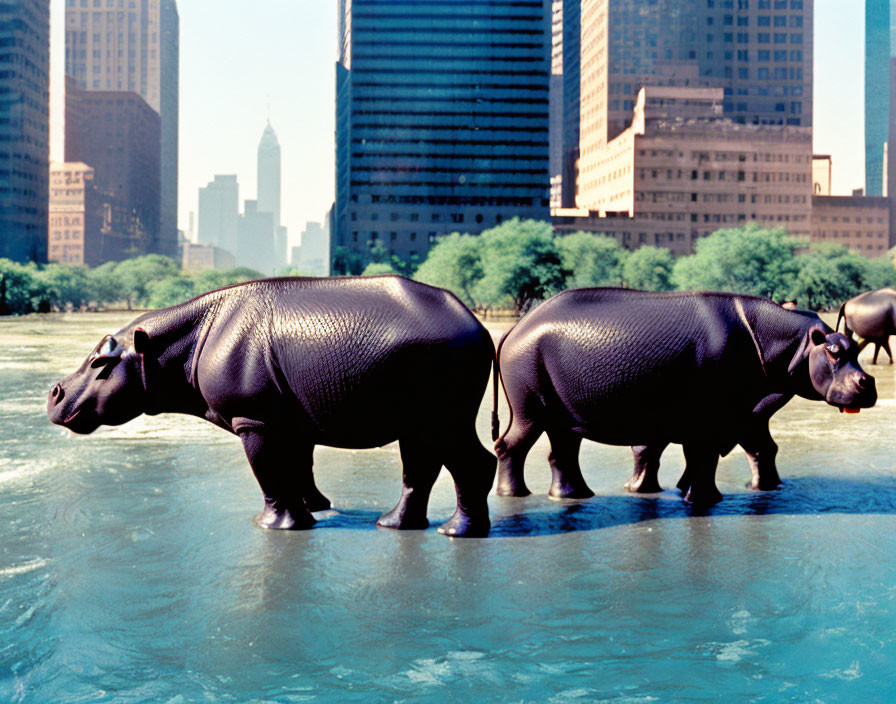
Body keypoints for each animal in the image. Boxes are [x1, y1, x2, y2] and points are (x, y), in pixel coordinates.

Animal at [47, 276, 496, 532]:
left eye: (99, 363)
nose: (54, 393)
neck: (165, 348)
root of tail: (477, 324)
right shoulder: (286, 419)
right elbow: (295, 468)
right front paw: (309, 517)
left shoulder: (254, 419)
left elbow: (269, 472)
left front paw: (270, 526)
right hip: (423, 397)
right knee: (420, 451)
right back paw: (397, 526)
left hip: (443, 382)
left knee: (455, 449)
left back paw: (455, 533)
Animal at [490, 288, 876, 506]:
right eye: (833, 351)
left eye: (855, 347)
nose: (868, 382)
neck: (787, 340)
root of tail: (515, 328)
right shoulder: (709, 419)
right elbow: (702, 457)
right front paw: (705, 502)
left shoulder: (739, 414)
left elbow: (745, 451)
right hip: (529, 406)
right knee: (510, 446)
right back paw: (514, 496)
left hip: (561, 416)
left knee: (561, 454)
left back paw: (574, 496)